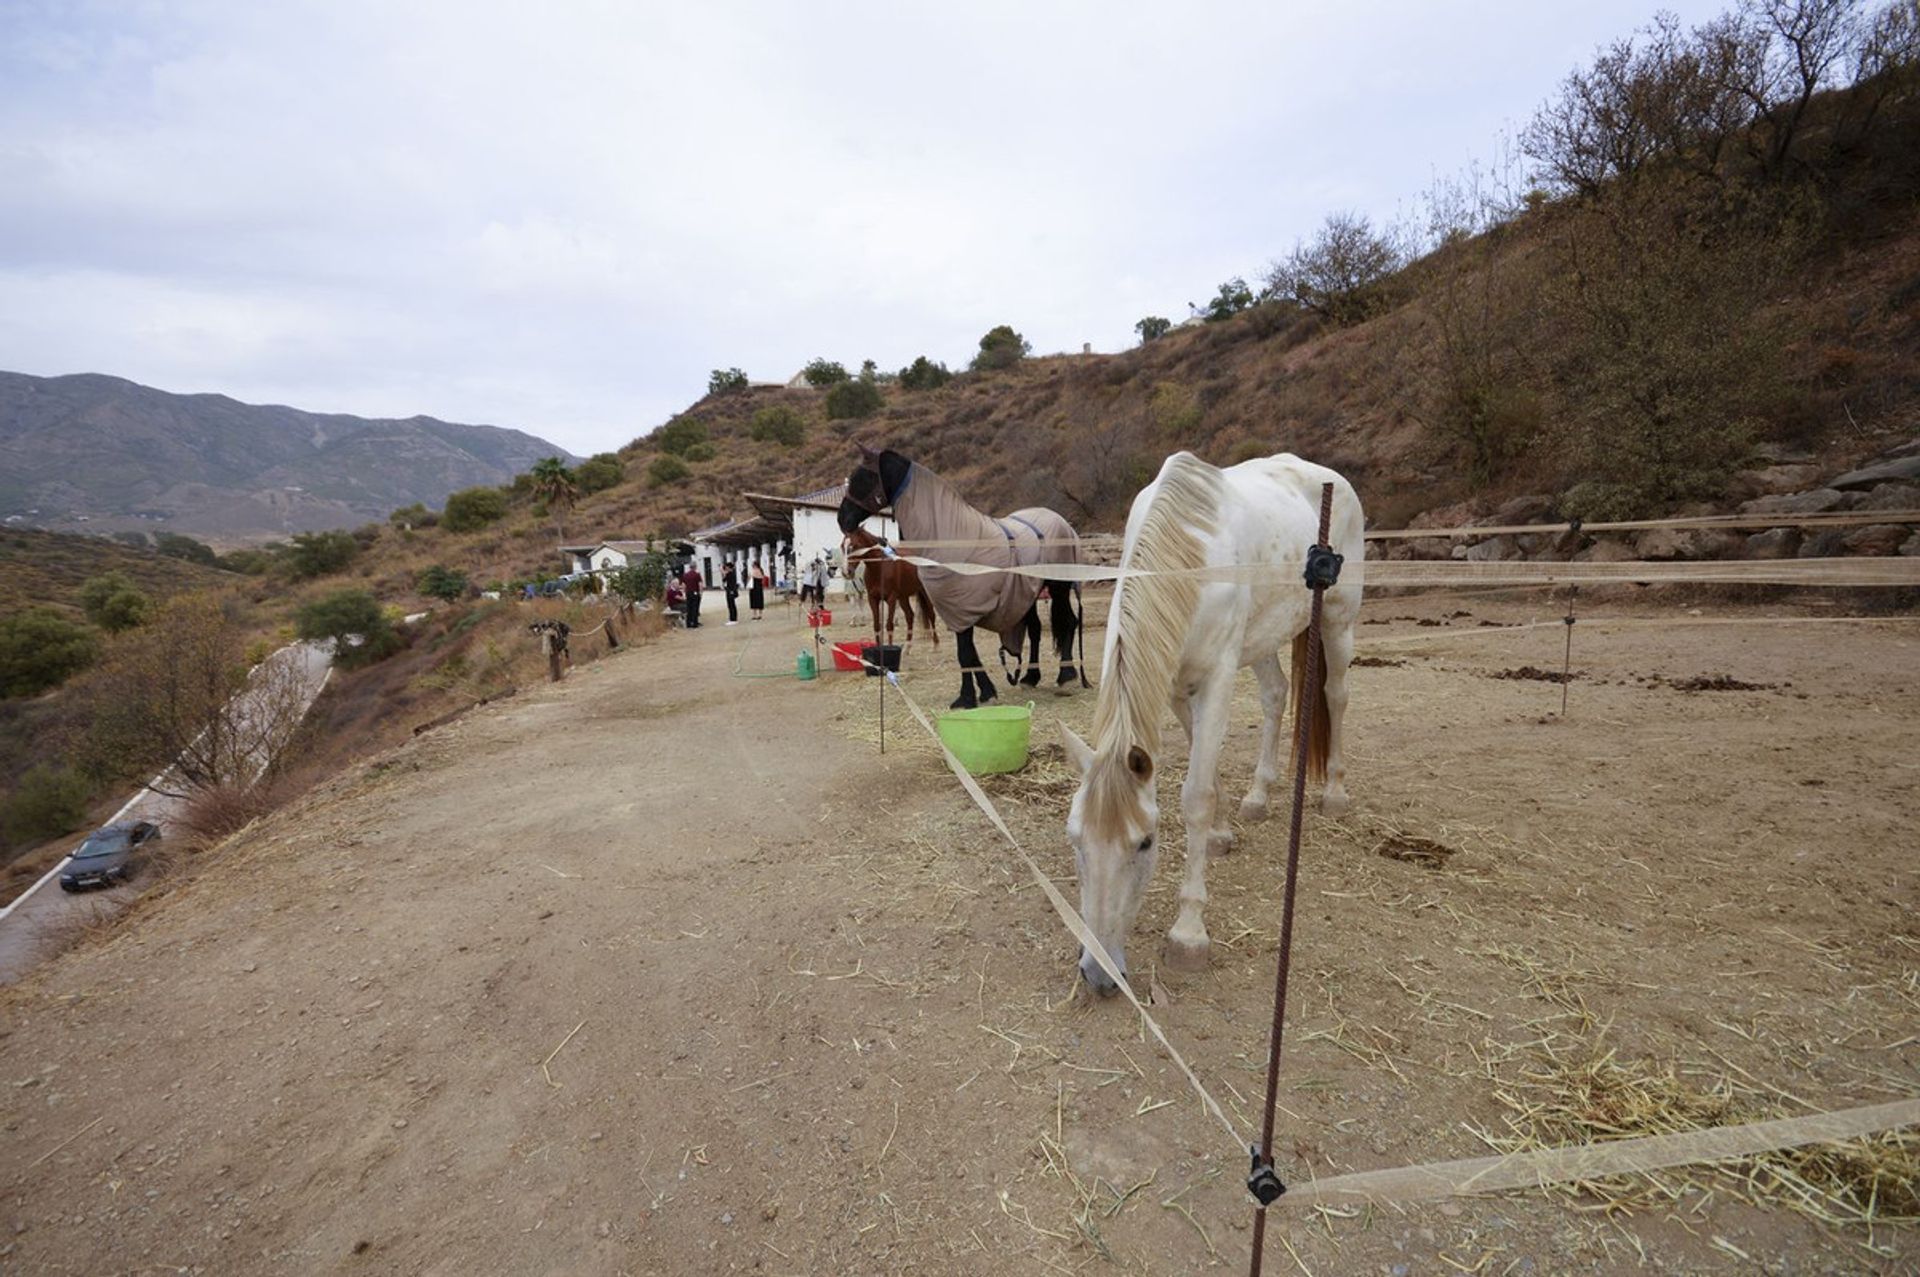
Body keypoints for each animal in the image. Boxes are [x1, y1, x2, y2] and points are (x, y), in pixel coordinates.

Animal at [848, 522, 936, 652]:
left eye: (855, 545)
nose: (848, 571)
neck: (879, 566)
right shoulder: (873, 598)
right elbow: (877, 625)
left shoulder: (891, 599)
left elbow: (889, 625)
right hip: (903, 597)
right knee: (910, 616)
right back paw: (907, 648)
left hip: (924, 592)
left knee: (931, 614)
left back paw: (936, 645)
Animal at [1059, 451, 1359, 998]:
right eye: (1075, 839)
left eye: (1145, 843)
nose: (1098, 973)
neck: (1190, 554)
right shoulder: (1180, 686)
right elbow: (1205, 765)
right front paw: (1220, 833)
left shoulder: (1216, 676)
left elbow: (1196, 795)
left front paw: (1188, 932)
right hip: (1263, 638)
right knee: (1275, 695)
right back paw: (1259, 796)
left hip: (1337, 620)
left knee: (1336, 696)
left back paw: (1334, 793)